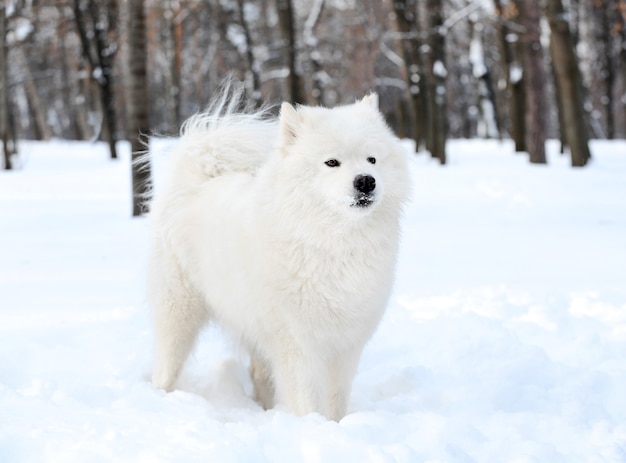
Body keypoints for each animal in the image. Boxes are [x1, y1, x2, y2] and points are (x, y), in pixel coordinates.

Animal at [147, 85, 410, 422]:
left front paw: (338, 426)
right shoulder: (299, 344)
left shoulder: (346, 344)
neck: (331, 241)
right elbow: (308, 398)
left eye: (372, 159)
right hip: (179, 311)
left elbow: (337, 398)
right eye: (332, 162)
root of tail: (199, 178)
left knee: (259, 373)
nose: (366, 180)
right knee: (167, 364)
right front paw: (314, 426)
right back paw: (161, 397)